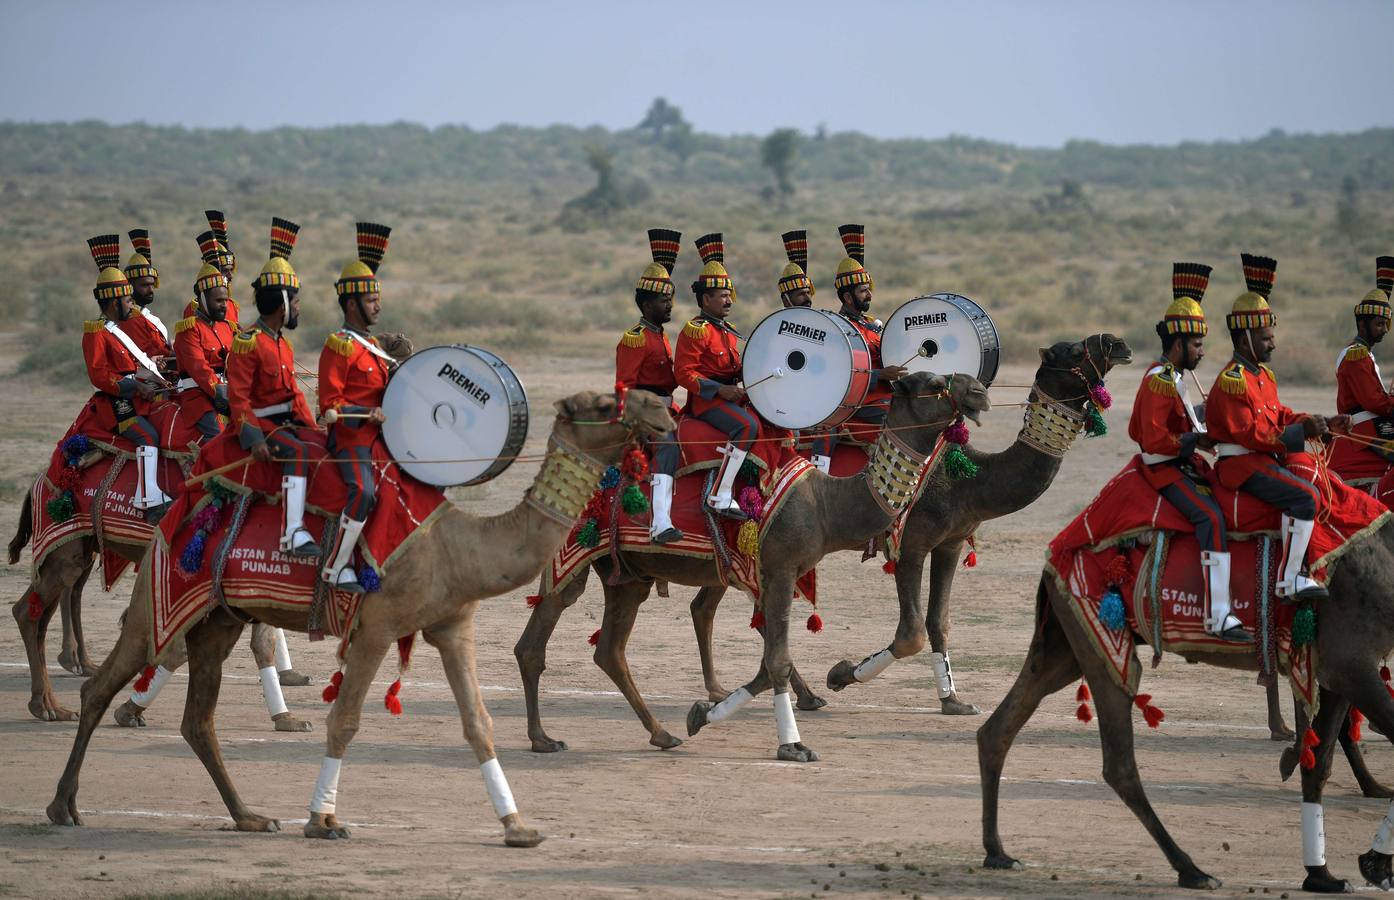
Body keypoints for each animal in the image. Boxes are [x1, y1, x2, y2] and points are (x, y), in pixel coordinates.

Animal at [46, 390, 671, 852]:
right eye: (603, 402)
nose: (662, 411)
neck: (460, 546)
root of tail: (179, 511)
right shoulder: (377, 626)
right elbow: (344, 720)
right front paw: (322, 822)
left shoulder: (453, 625)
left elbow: (478, 724)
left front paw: (518, 827)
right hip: (163, 594)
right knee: (104, 682)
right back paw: (63, 804)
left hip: (219, 618)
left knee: (198, 720)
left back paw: (250, 817)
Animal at [515, 373, 992, 763]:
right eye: (934, 382)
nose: (978, 391)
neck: (827, 504)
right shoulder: (779, 570)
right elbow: (776, 661)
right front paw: (792, 745)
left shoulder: (774, 575)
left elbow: (767, 662)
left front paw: (702, 714)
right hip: (571, 557)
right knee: (535, 642)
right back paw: (542, 738)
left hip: (629, 576)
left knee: (610, 650)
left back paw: (662, 734)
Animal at [825, 331, 1131, 713]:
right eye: (1075, 351)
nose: (1118, 344)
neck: (970, 482)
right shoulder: (910, 544)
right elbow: (911, 634)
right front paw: (841, 673)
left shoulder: (950, 543)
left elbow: (939, 622)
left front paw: (953, 700)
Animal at [975, 521, 1394, 897]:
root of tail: (1054, 554)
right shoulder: (1351, 662)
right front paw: (1373, 864)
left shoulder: (1335, 670)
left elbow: (1317, 764)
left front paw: (1323, 875)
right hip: (1100, 634)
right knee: (1118, 763)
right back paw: (1193, 870)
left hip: (1063, 644)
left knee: (999, 728)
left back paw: (998, 852)